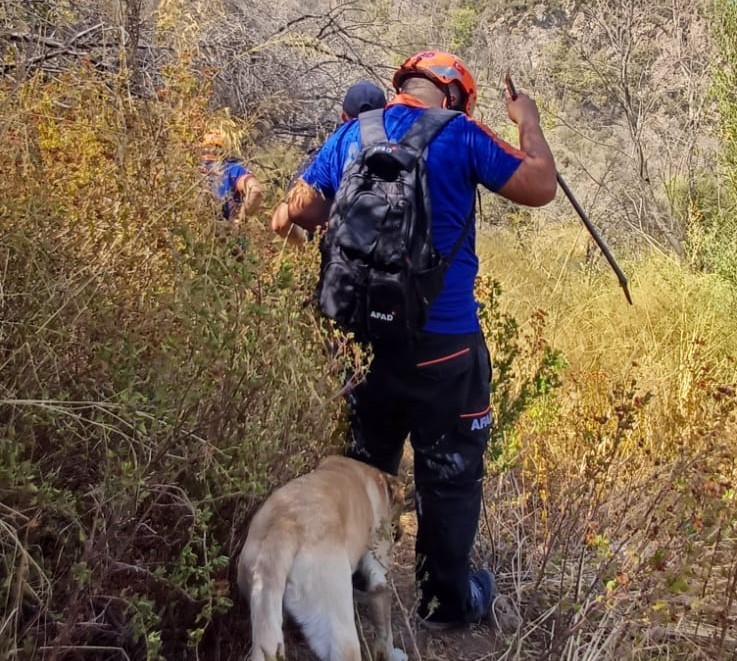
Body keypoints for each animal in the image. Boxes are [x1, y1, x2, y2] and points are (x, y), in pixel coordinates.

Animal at [237, 456, 406, 656]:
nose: (399, 535)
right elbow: (385, 626)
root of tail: (284, 526)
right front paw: (393, 653)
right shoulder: (377, 573)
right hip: (339, 628)